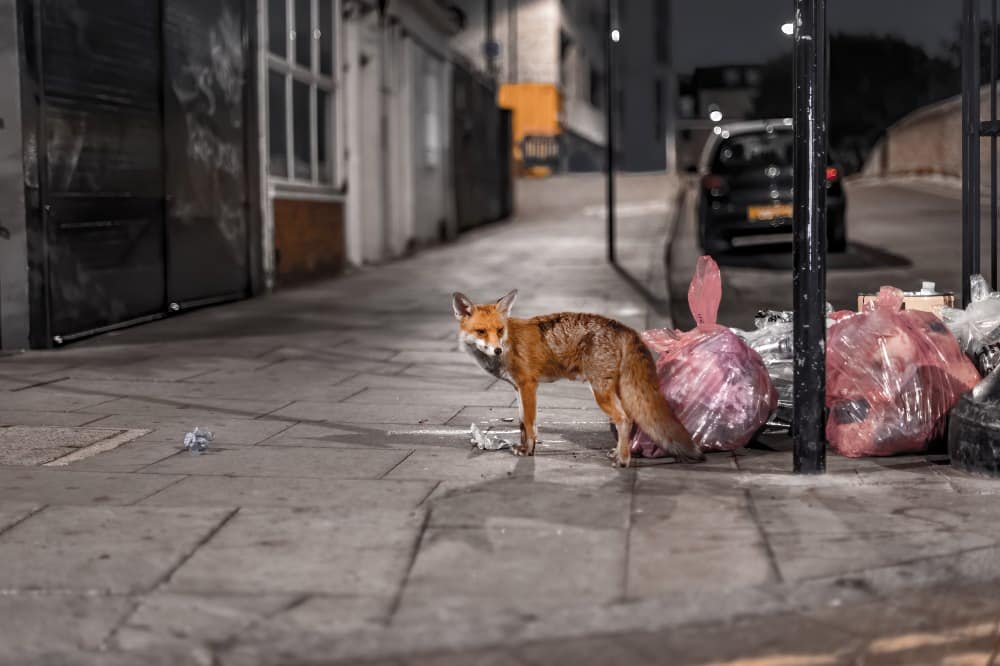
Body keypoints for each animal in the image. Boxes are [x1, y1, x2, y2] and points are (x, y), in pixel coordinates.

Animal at [454, 288, 704, 464]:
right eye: (481, 331)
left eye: (499, 331)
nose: (497, 350)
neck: (509, 343)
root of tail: (624, 327)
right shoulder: (519, 388)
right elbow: (523, 423)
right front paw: (525, 447)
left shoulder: (528, 385)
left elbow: (529, 423)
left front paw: (528, 451)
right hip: (619, 391)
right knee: (632, 420)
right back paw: (622, 452)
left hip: (601, 392)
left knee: (624, 419)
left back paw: (623, 460)